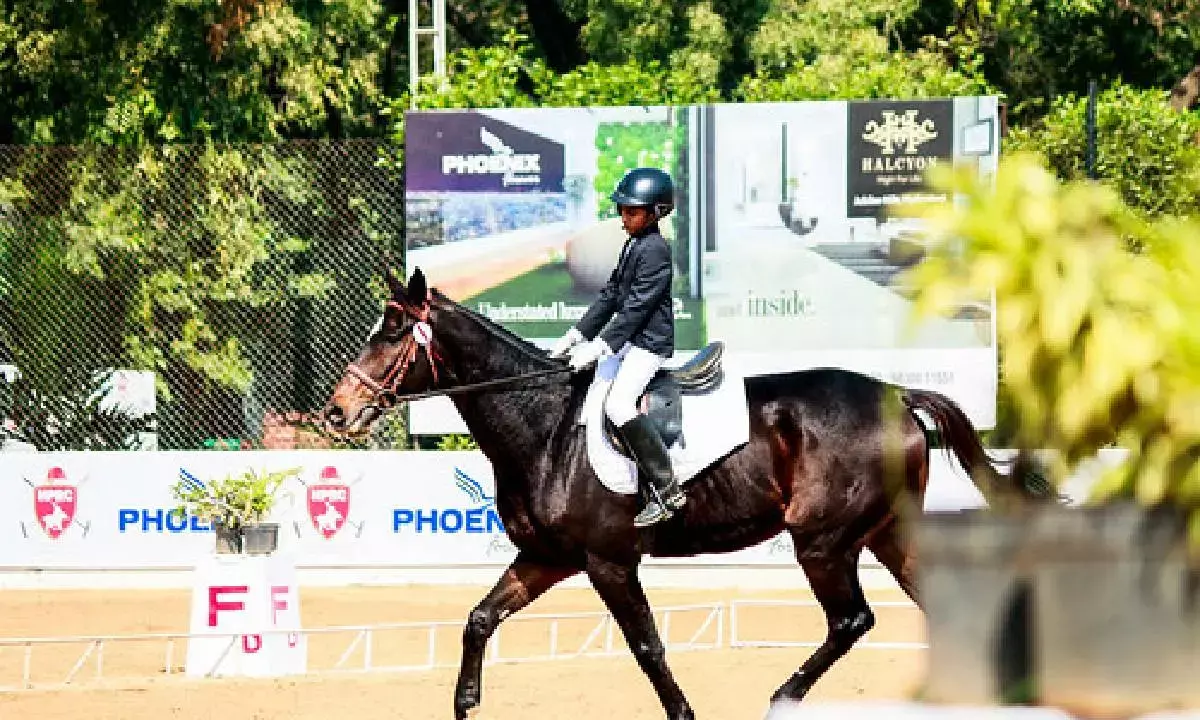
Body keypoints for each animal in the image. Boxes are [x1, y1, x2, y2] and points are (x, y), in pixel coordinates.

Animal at [320, 263, 1055, 720]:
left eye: (393, 331)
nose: (336, 413)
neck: (543, 423)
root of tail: (899, 395)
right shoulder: (548, 558)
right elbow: (479, 617)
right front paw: (464, 703)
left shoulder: (608, 560)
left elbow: (648, 647)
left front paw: (684, 712)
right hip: (888, 535)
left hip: (824, 541)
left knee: (851, 621)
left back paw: (782, 698)